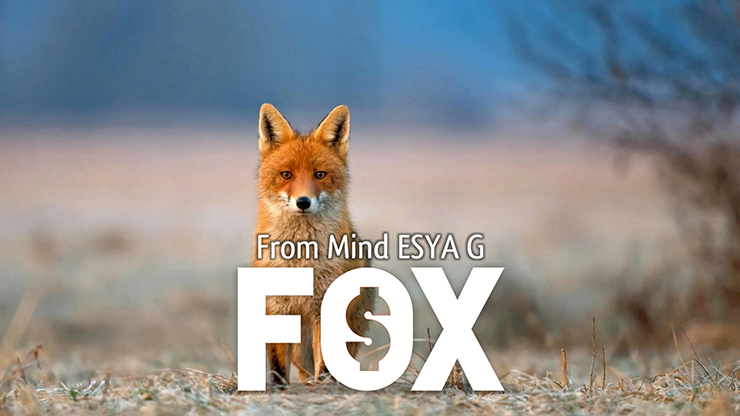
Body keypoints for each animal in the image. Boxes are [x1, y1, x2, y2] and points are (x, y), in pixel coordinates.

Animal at [253, 103, 375, 385]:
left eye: (320, 174)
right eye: (286, 174)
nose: (303, 202)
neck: (302, 261)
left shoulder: (326, 307)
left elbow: (327, 364)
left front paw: (324, 387)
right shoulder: (276, 307)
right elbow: (277, 366)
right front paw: (279, 388)